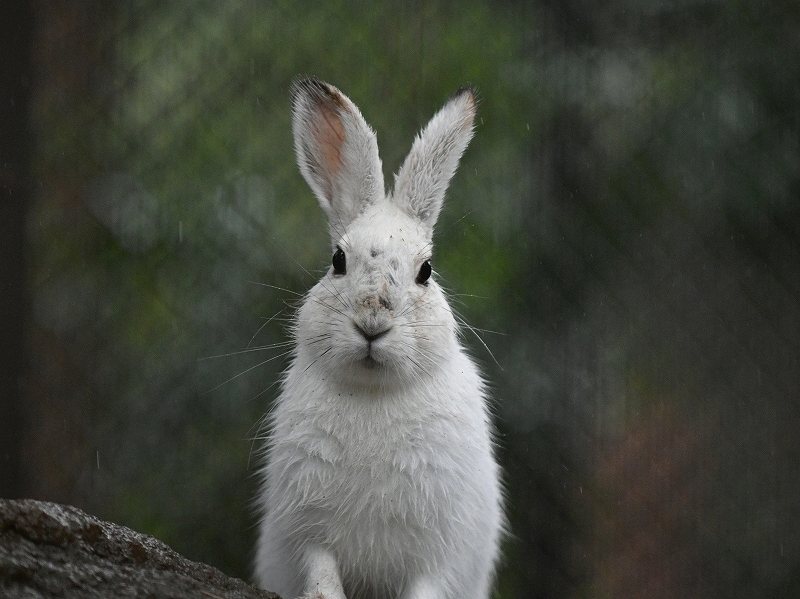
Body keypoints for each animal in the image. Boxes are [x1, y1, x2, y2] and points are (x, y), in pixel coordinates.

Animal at [253, 77, 504, 599]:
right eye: (338, 261)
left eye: (425, 271)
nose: (372, 323)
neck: (371, 392)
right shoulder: (307, 529)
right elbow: (321, 570)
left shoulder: (440, 552)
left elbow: (426, 586)